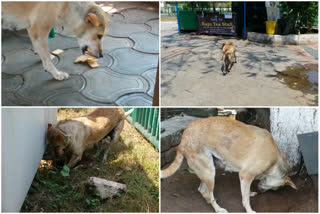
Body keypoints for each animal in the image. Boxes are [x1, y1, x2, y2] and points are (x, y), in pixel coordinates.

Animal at [161, 116, 298, 213]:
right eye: (276, 189)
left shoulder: (247, 178)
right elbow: (245, 199)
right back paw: (218, 208)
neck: (276, 161)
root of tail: (182, 139)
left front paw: (250, 193)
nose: (260, 190)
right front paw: (249, 210)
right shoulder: (245, 175)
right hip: (209, 173)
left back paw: (210, 201)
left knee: (203, 190)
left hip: (208, 170)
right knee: (208, 193)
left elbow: (246, 193)